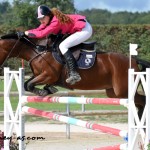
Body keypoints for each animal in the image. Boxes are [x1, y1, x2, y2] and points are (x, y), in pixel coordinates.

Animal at [0, 32, 149, 118]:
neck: (38, 51)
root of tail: (134, 60)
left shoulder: (49, 75)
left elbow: (30, 84)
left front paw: (43, 92)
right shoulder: (40, 75)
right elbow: (27, 84)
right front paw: (48, 89)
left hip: (123, 90)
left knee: (142, 100)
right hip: (113, 93)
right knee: (140, 102)